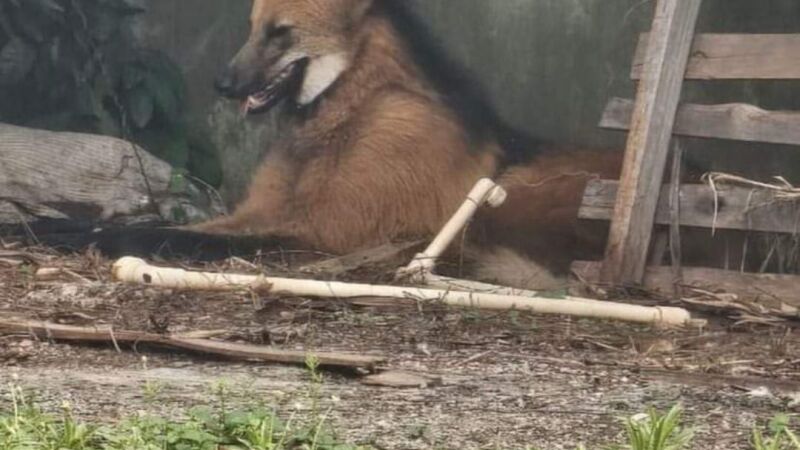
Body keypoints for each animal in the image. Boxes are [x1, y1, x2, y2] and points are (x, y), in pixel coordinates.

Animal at [191, 0, 620, 288]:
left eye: (280, 32)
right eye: (252, 28)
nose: (220, 84)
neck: (350, 107)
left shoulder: (328, 231)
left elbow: (192, 237)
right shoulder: (264, 210)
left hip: (507, 198)